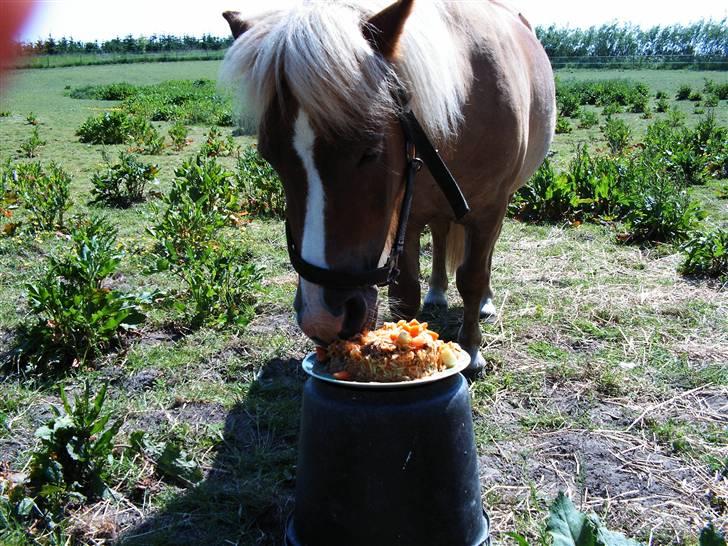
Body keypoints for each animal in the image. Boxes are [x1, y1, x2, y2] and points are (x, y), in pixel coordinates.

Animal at [219, 0, 556, 372]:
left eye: (370, 151)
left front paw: (472, 348)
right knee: (441, 235)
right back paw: (437, 291)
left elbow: (471, 278)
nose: (322, 319)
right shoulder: (406, 216)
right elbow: (405, 293)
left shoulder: (488, 211)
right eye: (271, 157)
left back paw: (485, 302)